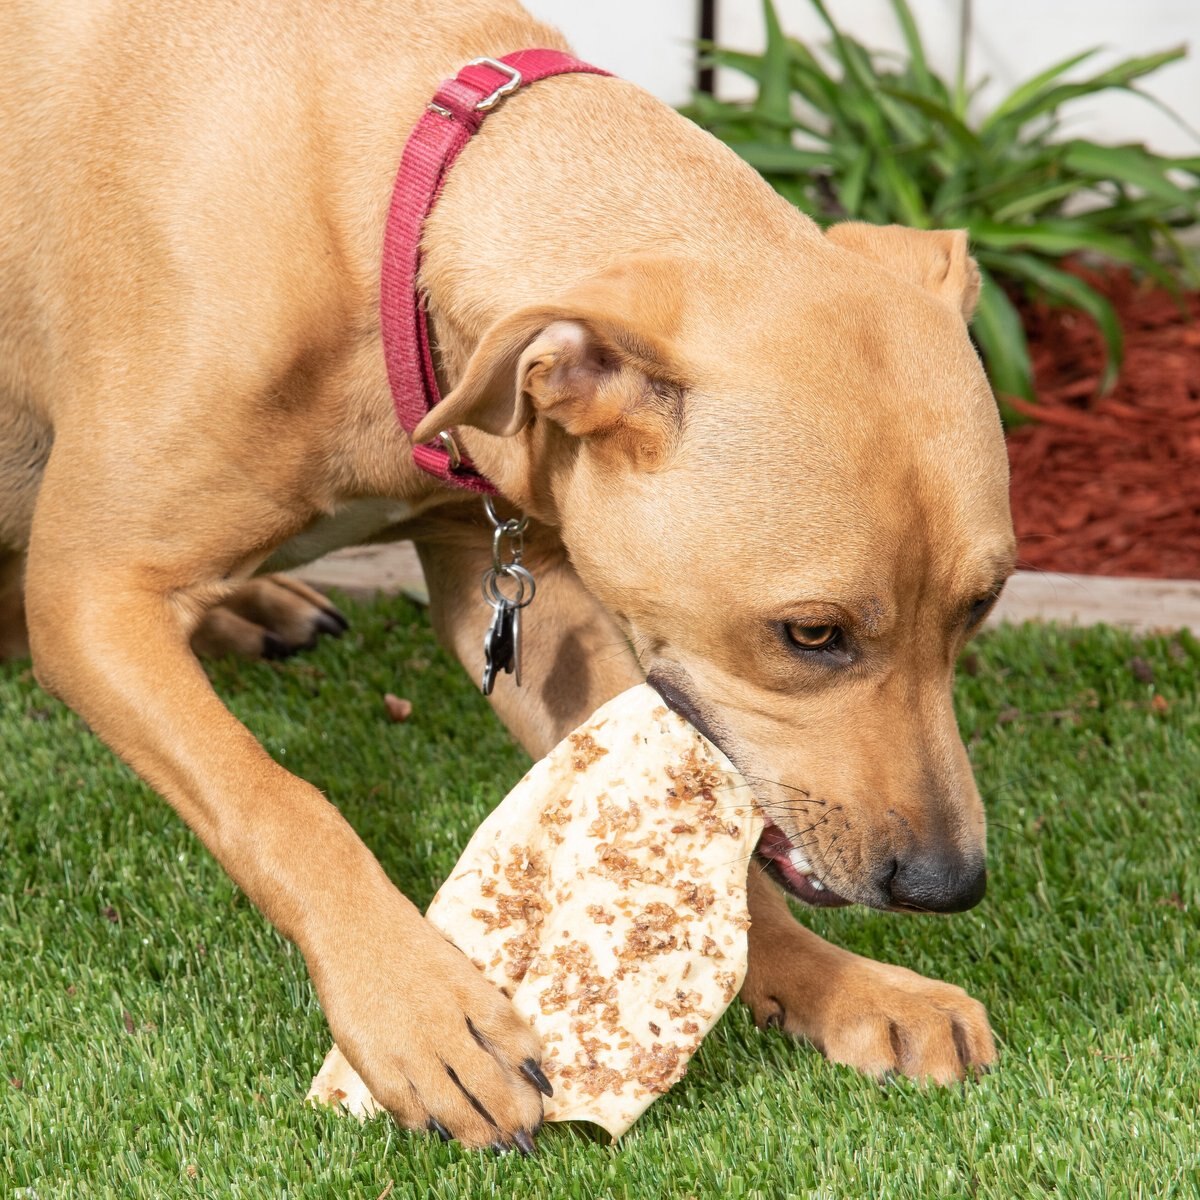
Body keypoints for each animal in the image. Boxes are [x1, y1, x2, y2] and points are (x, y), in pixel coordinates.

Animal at [0, 0, 1012, 1147]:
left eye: (982, 605)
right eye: (811, 633)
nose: (948, 886)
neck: (389, 217)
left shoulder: (536, 598)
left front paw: (841, 985)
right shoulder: (93, 596)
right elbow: (277, 800)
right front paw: (419, 1011)